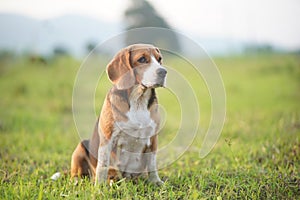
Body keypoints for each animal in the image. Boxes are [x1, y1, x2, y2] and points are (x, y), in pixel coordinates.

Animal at [72, 43, 168, 184]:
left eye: (159, 59)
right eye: (142, 59)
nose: (163, 72)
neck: (138, 100)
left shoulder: (152, 138)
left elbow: (152, 165)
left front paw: (155, 182)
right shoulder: (107, 139)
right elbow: (103, 166)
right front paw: (99, 186)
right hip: (80, 148)